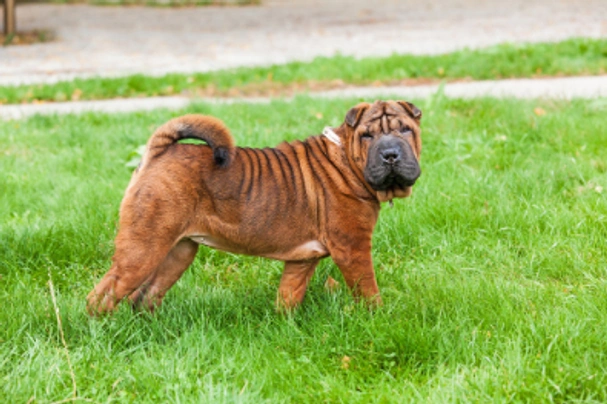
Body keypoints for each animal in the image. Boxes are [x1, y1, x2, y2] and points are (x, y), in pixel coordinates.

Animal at [86, 99, 422, 314]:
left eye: (405, 130)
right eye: (367, 135)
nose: (390, 154)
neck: (347, 161)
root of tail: (160, 152)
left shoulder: (302, 260)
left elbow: (289, 295)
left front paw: (284, 326)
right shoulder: (353, 248)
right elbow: (368, 290)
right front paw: (379, 319)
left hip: (178, 252)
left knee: (145, 297)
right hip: (142, 250)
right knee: (103, 295)